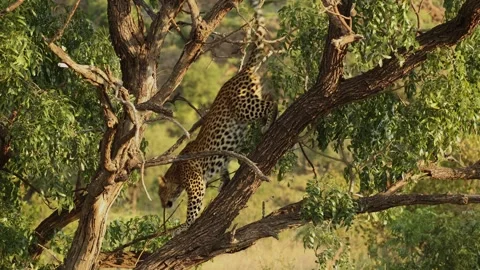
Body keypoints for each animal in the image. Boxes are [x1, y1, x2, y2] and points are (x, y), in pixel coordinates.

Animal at [159, 0, 276, 233]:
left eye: (160, 195)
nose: (162, 205)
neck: (176, 173)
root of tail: (241, 72)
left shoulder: (195, 184)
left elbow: (193, 209)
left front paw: (183, 227)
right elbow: (223, 172)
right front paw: (225, 183)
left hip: (244, 106)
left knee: (272, 103)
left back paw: (268, 124)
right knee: (269, 97)